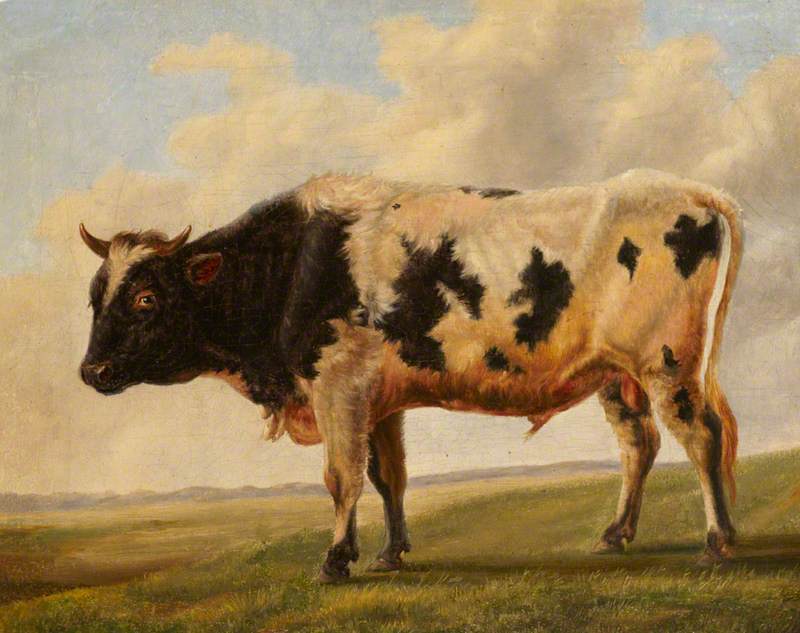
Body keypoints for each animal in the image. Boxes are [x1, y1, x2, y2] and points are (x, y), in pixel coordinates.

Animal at [79, 168, 742, 583]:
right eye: (94, 295)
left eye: (145, 298)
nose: (91, 370)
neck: (293, 265)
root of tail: (692, 191)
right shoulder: (380, 400)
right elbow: (387, 477)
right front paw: (390, 553)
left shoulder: (338, 387)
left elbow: (341, 477)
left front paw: (334, 559)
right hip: (616, 374)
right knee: (640, 444)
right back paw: (614, 534)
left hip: (668, 361)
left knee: (700, 437)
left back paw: (718, 542)